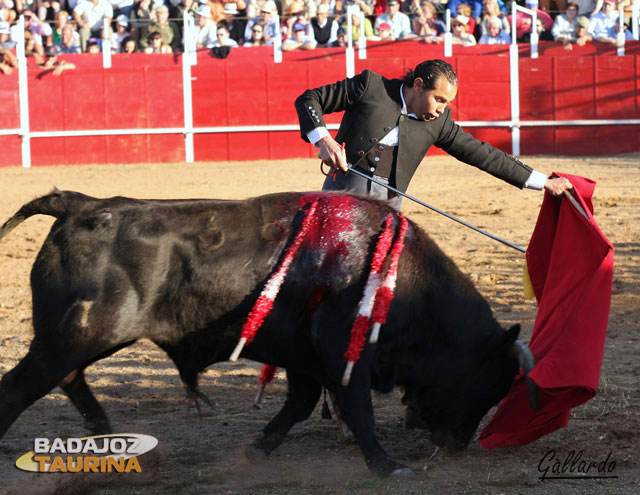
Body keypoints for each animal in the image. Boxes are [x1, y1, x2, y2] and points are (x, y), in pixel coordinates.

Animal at [0, 189, 536, 476]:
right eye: (491, 382)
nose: (457, 444)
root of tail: (82, 205)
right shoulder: (343, 351)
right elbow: (357, 408)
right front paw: (387, 466)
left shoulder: (304, 357)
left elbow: (300, 402)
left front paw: (258, 447)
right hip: (80, 334)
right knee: (20, 386)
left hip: (76, 338)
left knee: (66, 378)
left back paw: (104, 432)